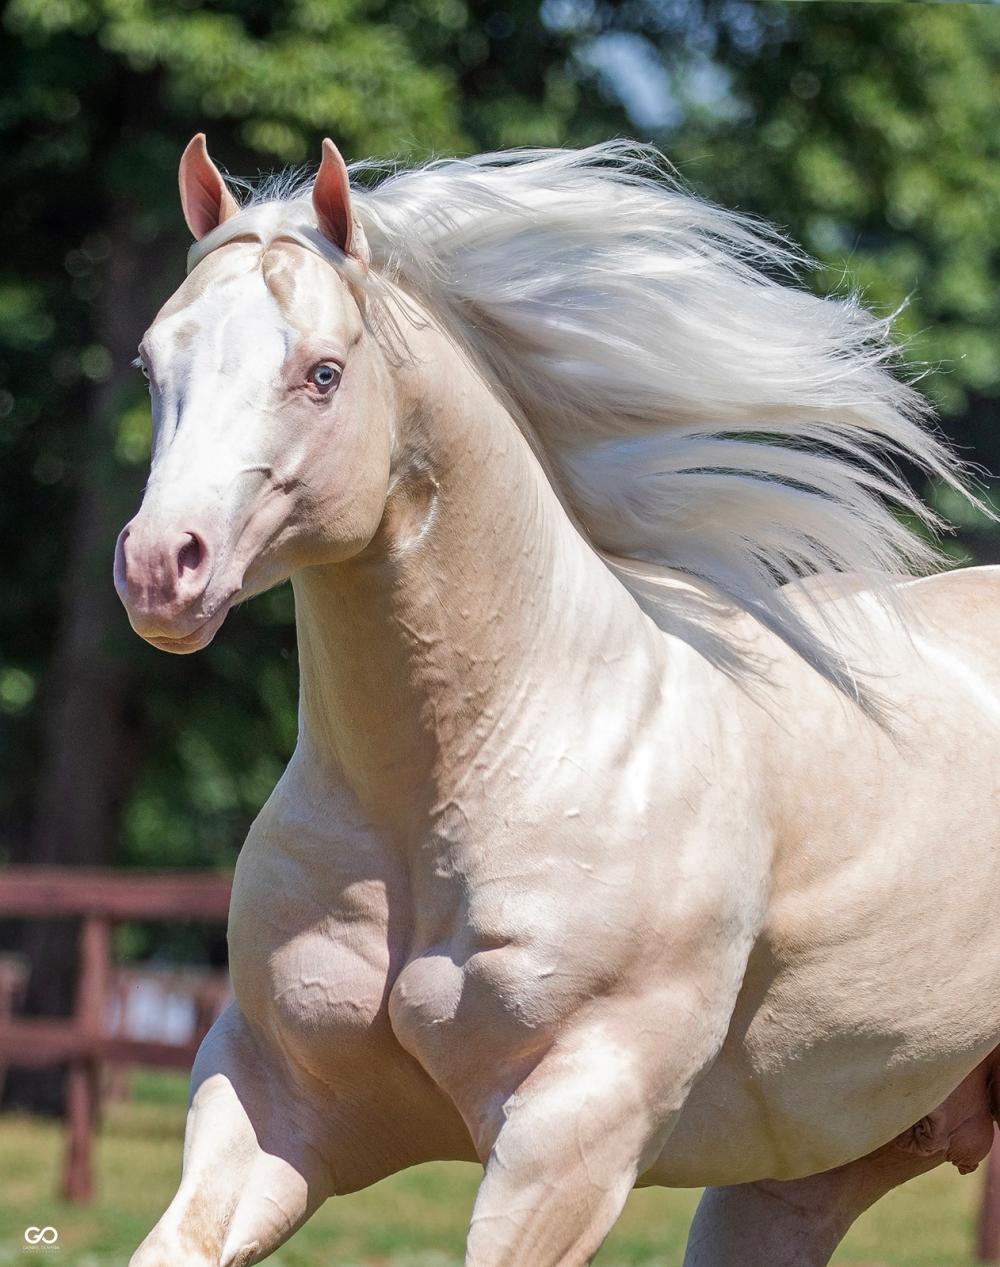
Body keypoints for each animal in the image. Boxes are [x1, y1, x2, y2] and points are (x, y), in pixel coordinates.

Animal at [115, 133, 1000, 1267]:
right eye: (153, 363)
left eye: (322, 372)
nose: (160, 568)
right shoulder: (271, 1104)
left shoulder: (572, 1136)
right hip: (802, 1174)